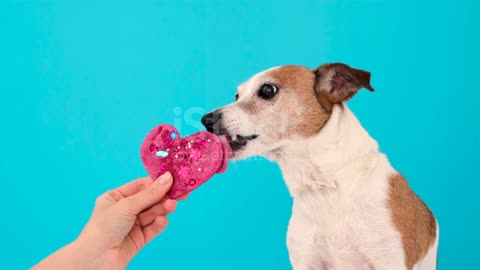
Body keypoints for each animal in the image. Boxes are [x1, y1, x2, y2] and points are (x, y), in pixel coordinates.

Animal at [202, 63, 438, 270]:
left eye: (268, 90)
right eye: (237, 96)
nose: (206, 120)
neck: (325, 185)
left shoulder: (388, 260)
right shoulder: (306, 260)